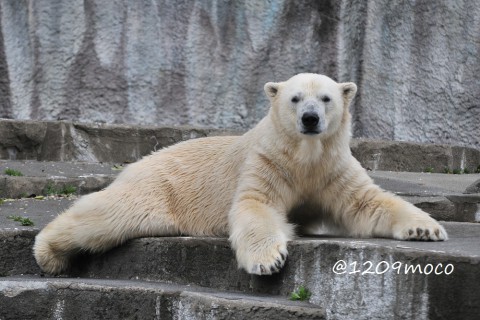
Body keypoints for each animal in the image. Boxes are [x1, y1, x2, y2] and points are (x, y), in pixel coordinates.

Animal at [32, 73, 446, 276]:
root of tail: (136, 162)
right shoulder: (267, 162)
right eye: (295, 98)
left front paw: (426, 229)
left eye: (326, 98)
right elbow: (256, 207)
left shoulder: (332, 168)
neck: (304, 156)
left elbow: (366, 203)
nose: (310, 119)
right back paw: (49, 255)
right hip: (158, 187)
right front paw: (269, 261)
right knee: (112, 214)